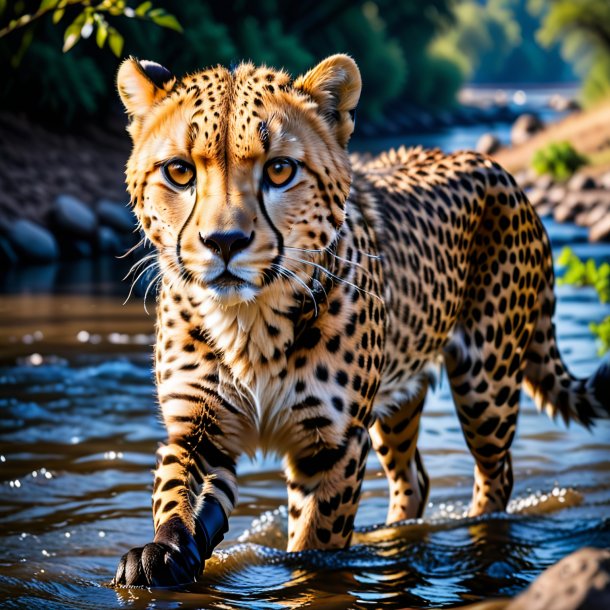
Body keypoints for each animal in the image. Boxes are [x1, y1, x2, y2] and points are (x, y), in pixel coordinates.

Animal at [110, 55, 608, 584]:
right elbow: (175, 493)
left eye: (280, 170)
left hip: (485, 388)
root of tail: (494, 166)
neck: (251, 320)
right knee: (414, 479)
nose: (224, 242)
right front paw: (163, 550)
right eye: (179, 171)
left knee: (496, 476)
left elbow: (316, 541)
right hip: (401, 398)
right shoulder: (200, 429)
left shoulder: (333, 446)